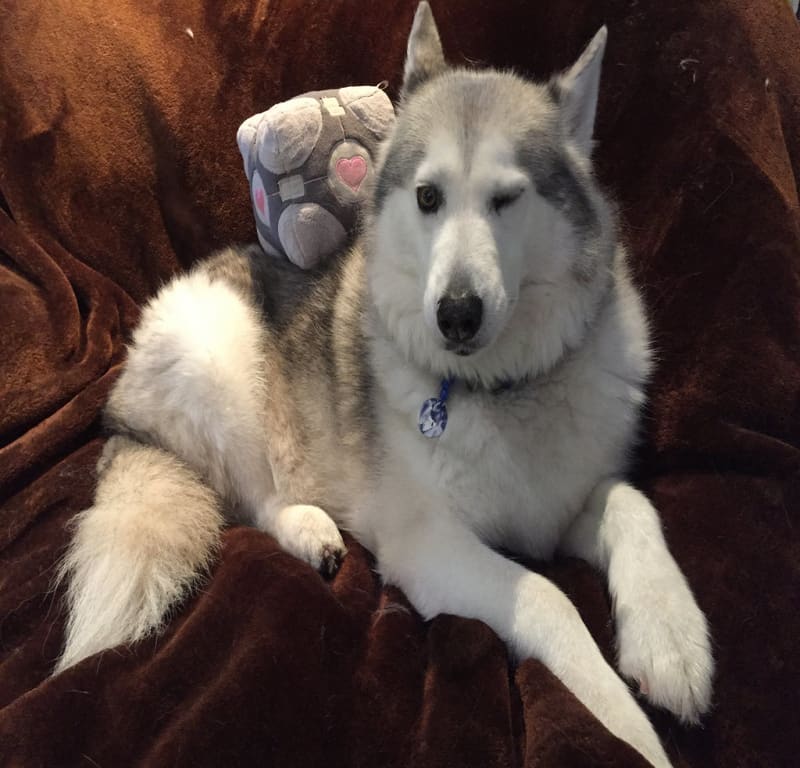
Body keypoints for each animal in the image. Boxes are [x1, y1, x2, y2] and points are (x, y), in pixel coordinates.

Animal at [55, 4, 713, 766]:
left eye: (507, 199)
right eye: (428, 197)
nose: (456, 314)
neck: (502, 387)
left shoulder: (565, 506)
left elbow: (633, 504)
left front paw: (671, 639)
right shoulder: (430, 544)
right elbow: (549, 599)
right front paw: (630, 731)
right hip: (220, 360)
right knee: (254, 497)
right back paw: (309, 528)